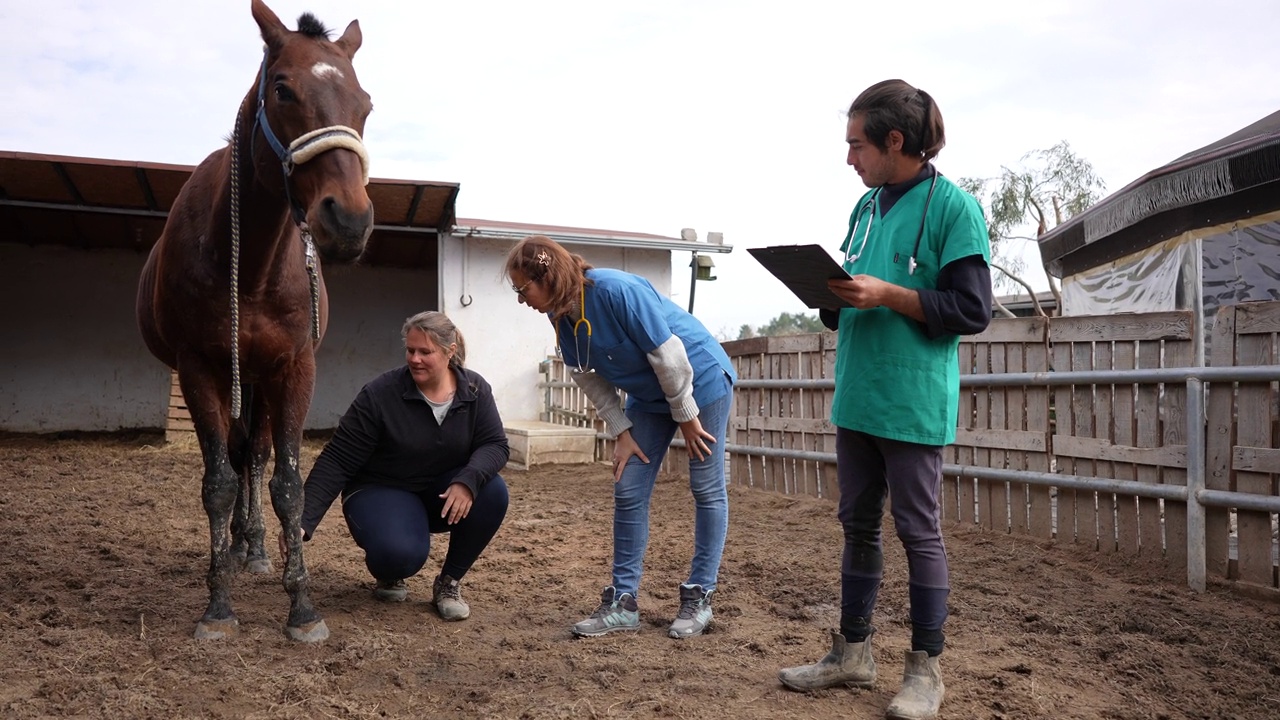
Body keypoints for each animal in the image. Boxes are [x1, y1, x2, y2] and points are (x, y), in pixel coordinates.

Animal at [136, 0, 373, 638]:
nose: (350, 220)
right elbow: (218, 483)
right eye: (283, 89)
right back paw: (241, 547)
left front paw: (302, 606)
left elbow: (288, 483)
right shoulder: (199, 368)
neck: (250, 264)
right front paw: (218, 605)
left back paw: (256, 547)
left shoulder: (293, 368)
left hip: (262, 380)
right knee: (239, 457)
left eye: (365, 103)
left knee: (257, 455)